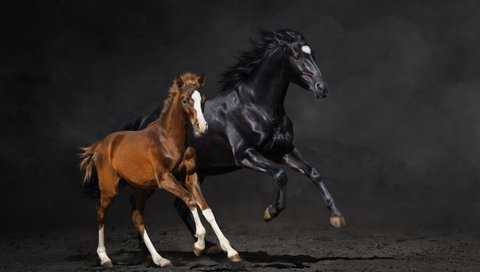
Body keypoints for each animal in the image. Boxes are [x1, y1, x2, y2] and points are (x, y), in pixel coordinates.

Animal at [81, 73, 244, 268]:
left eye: (202, 99)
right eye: (185, 100)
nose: (202, 127)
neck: (169, 140)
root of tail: (102, 144)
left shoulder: (190, 177)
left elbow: (206, 209)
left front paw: (231, 251)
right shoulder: (165, 178)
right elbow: (190, 200)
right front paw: (198, 245)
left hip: (140, 189)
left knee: (137, 218)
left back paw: (160, 259)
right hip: (110, 188)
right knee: (100, 212)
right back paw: (104, 258)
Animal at [125, 29, 344, 249]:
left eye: (313, 54)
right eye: (297, 56)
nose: (322, 88)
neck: (256, 107)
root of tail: (144, 120)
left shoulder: (282, 151)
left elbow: (313, 173)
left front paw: (336, 216)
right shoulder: (245, 155)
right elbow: (281, 175)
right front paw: (270, 212)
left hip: (197, 172)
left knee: (179, 205)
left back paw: (206, 245)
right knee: (137, 204)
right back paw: (145, 248)